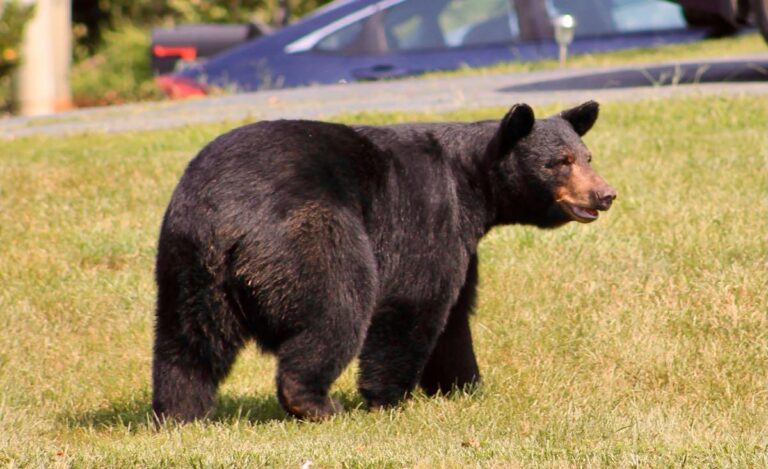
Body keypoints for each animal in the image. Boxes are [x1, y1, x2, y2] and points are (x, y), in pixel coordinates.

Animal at [152, 101, 616, 422]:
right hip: (307, 235)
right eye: (560, 162)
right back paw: (318, 404)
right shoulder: (427, 212)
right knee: (338, 308)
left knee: (187, 342)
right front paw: (390, 399)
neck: (471, 184)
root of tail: (225, 217)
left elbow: (455, 314)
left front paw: (464, 386)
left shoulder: (461, 240)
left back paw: (178, 413)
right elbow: (416, 300)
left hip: (186, 262)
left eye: (587, 156)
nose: (605, 194)